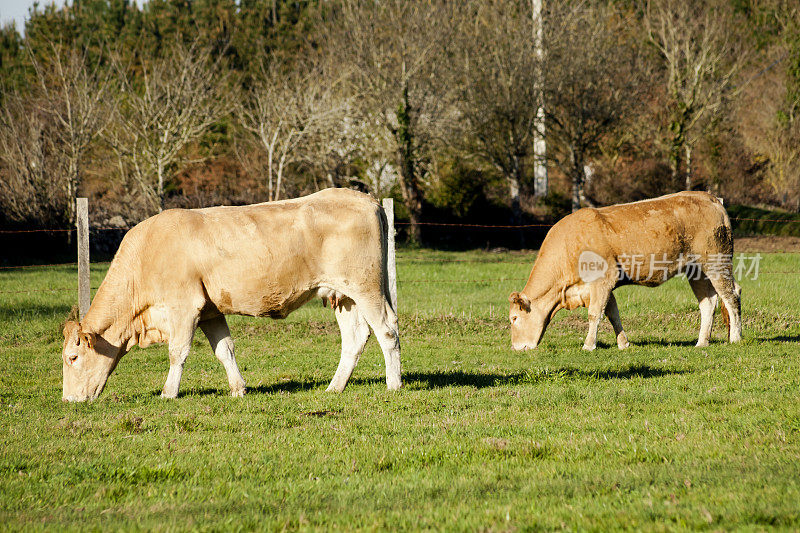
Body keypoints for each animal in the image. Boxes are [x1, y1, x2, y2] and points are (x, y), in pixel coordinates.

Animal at [61, 189, 400, 402]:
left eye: (72, 357)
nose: (68, 400)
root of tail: (366, 198)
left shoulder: (184, 306)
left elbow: (177, 351)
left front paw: (168, 393)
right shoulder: (210, 310)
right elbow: (225, 350)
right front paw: (238, 389)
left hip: (366, 287)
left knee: (387, 330)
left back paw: (393, 384)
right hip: (344, 296)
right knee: (355, 338)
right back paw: (334, 388)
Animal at [512, 191, 744, 350]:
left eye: (514, 318)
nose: (516, 347)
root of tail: (709, 197)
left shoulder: (602, 279)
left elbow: (594, 314)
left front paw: (588, 345)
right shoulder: (602, 286)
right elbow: (612, 314)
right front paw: (623, 344)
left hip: (717, 261)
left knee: (731, 295)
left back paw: (735, 337)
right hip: (696, 270)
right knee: (708, 302)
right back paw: (702, 342)